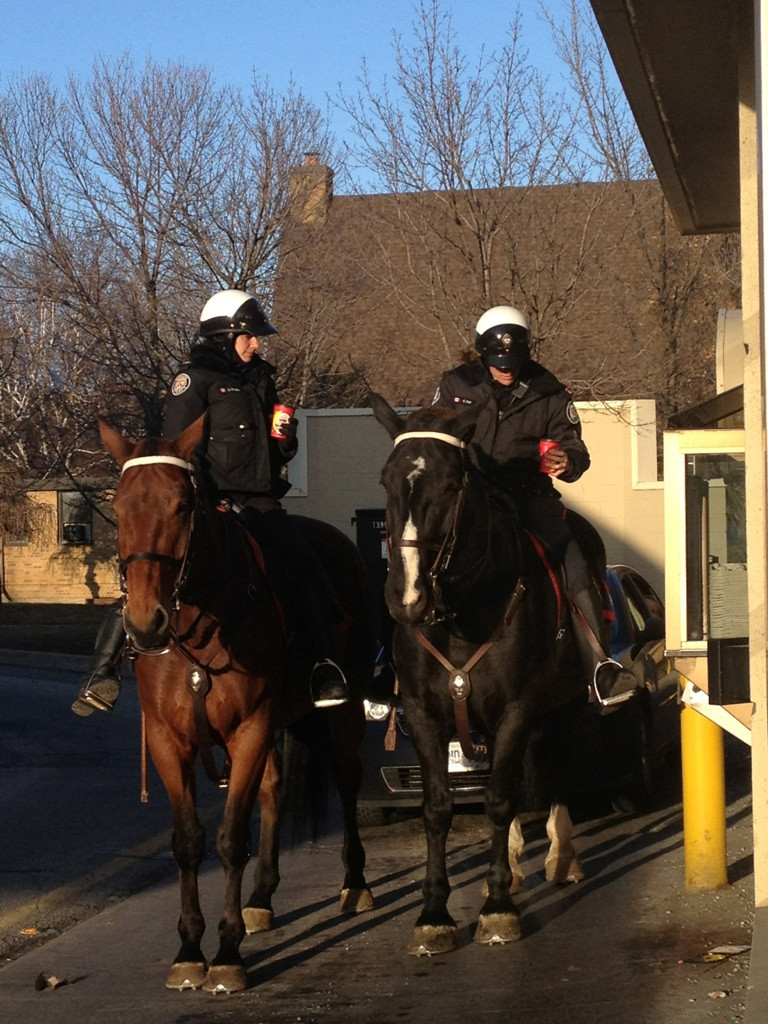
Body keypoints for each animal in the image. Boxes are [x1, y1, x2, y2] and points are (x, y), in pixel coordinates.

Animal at [98, 413, 375, 993]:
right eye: (118, 503)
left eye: (182, 505)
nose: (144, 621)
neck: (201, 628)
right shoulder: (169, 741)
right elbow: (188, 842)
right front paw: (188, 949)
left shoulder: (249, 728)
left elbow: (229, 840)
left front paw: (226, 952)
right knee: (273, 789)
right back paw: (263, 897)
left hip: (341, 710)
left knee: (345, 778)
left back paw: (355, 882)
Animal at [371, 393, 590, 955]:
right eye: (385, 479)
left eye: (452, 485)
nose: (405, 597)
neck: (463, 611)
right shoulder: (425, 715)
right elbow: (438, 807)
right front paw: (433, 914)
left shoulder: (516, 710)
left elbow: (499, 800)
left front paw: (497, 907)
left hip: (564, 706)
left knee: (557, 770)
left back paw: (561, 856)